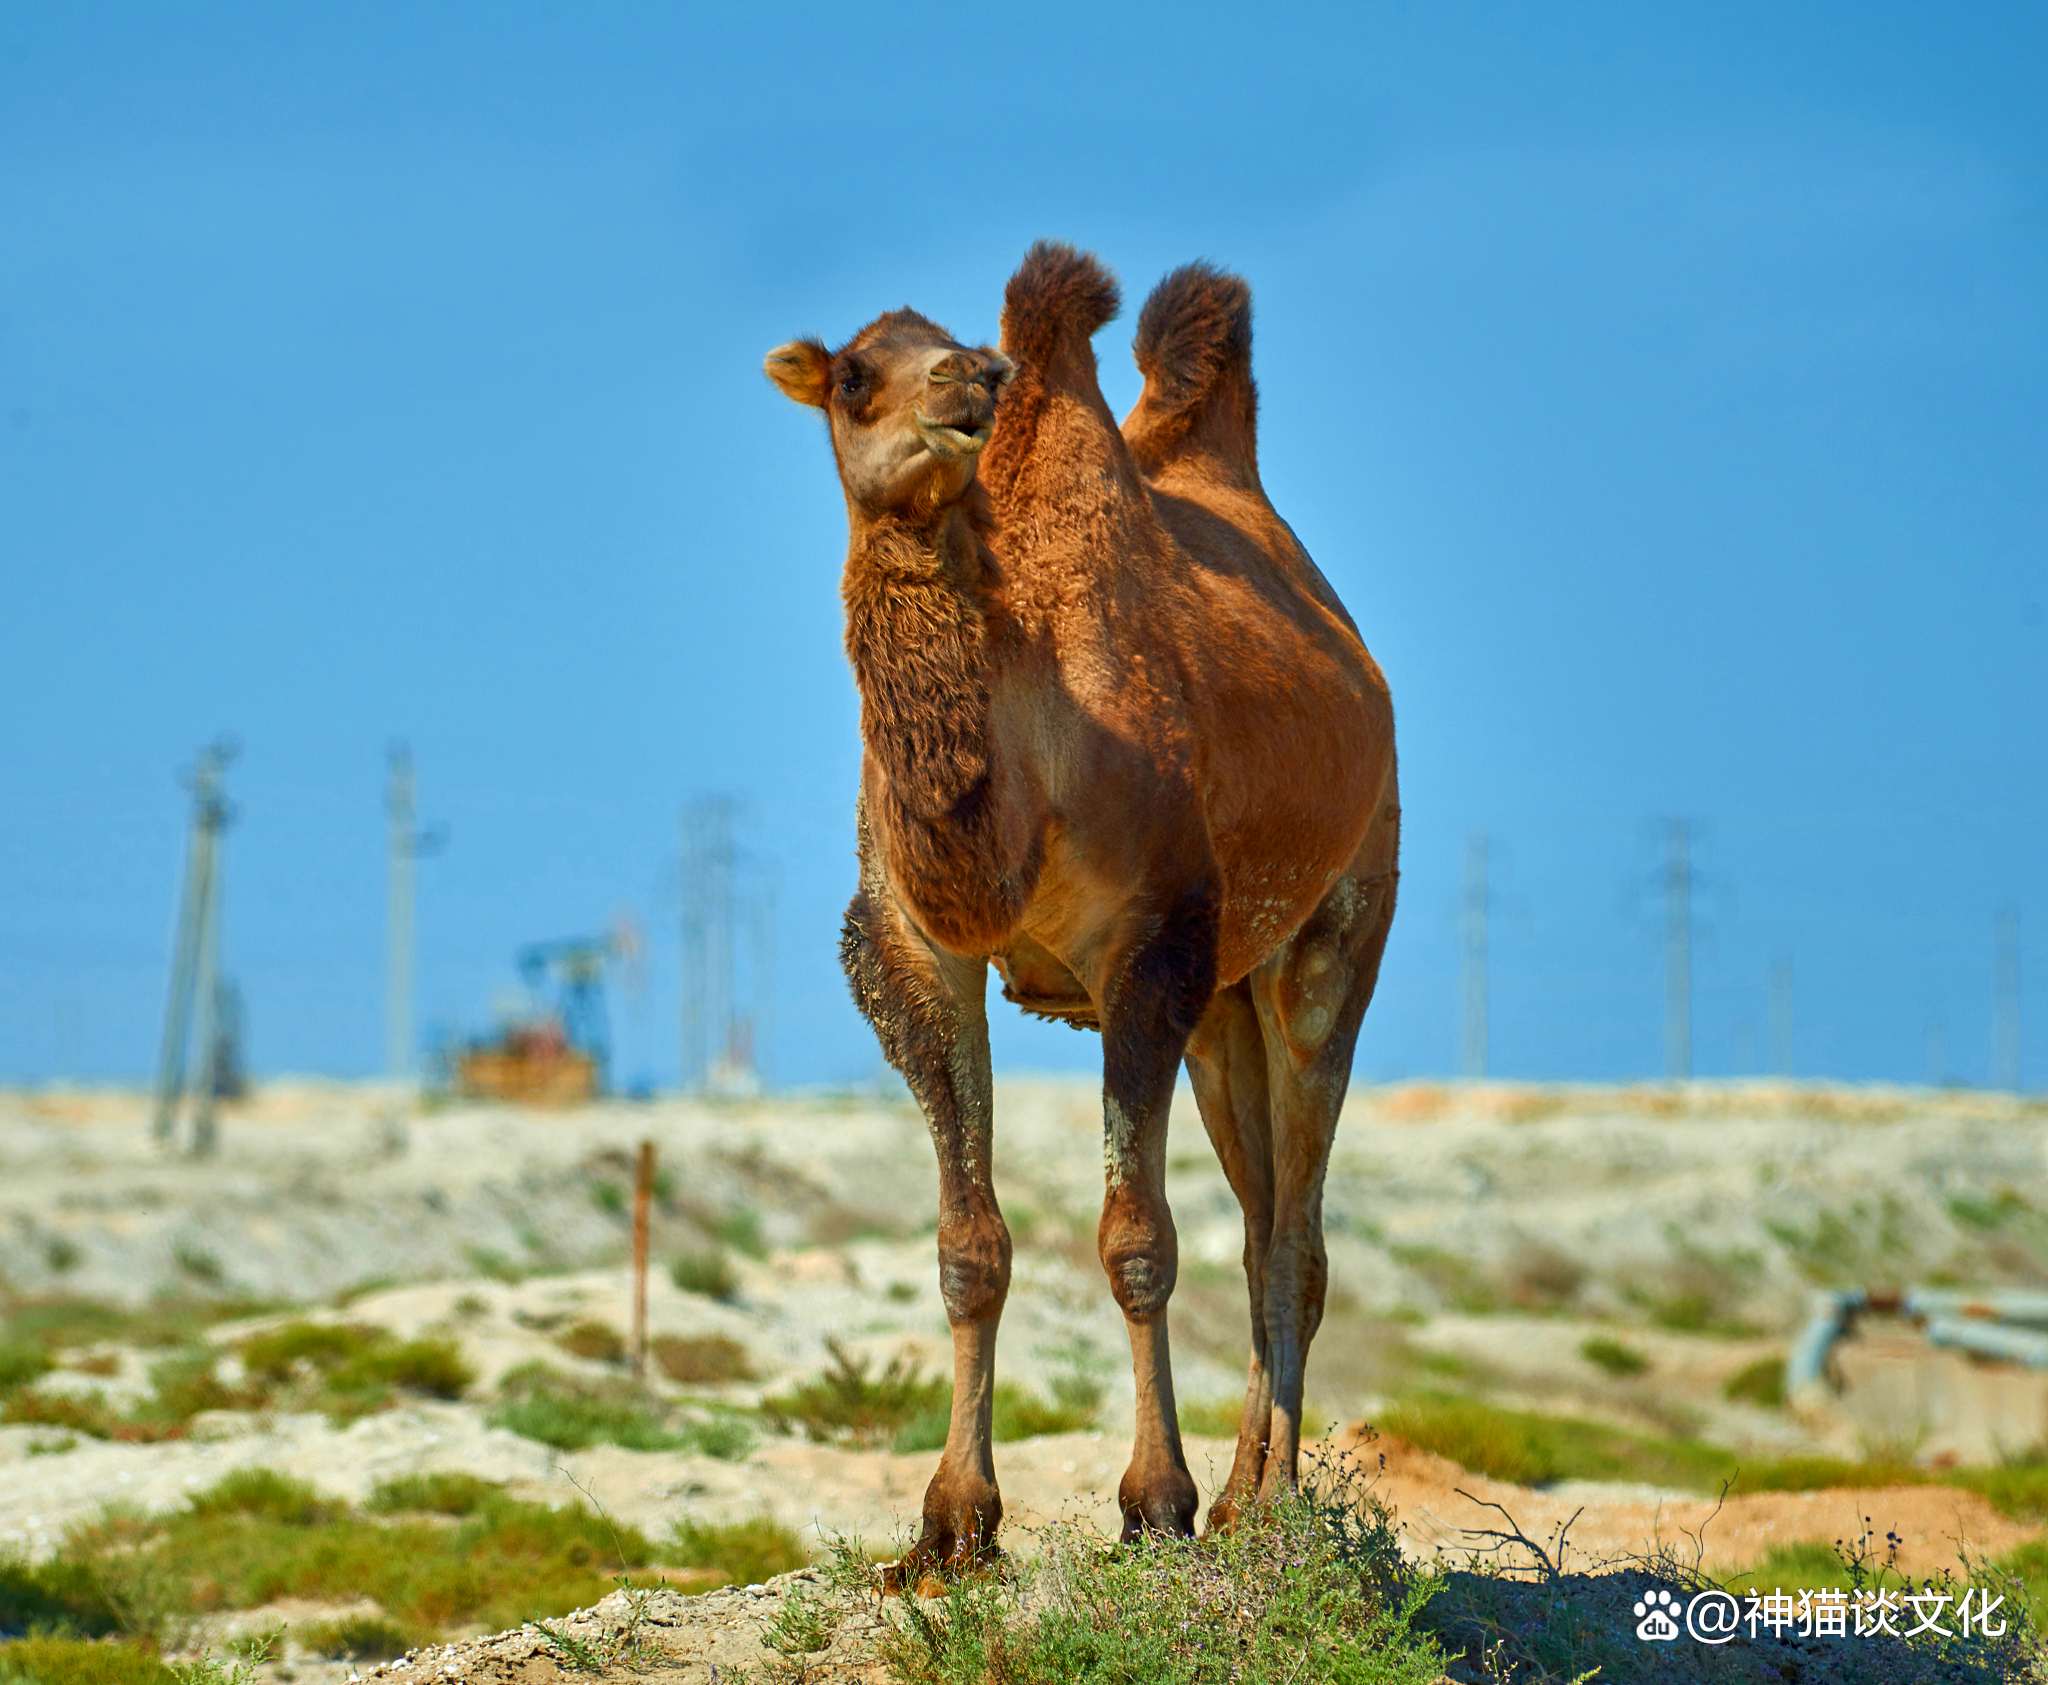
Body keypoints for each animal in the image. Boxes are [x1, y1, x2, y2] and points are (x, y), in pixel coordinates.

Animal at [761, 243, 1400, 1572]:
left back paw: (1268, 1505)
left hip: (1338, 918)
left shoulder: (1146, 943)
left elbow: (1136, 1239)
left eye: (976, 361)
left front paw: (1151, 1501)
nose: (965, 378)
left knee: (1295, 1229)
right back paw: (1245, 1490)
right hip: (1225, 1001)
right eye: (853, 375)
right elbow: (969, 1246)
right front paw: (951, 1524)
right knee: (1261, 1212)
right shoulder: (913, 948)